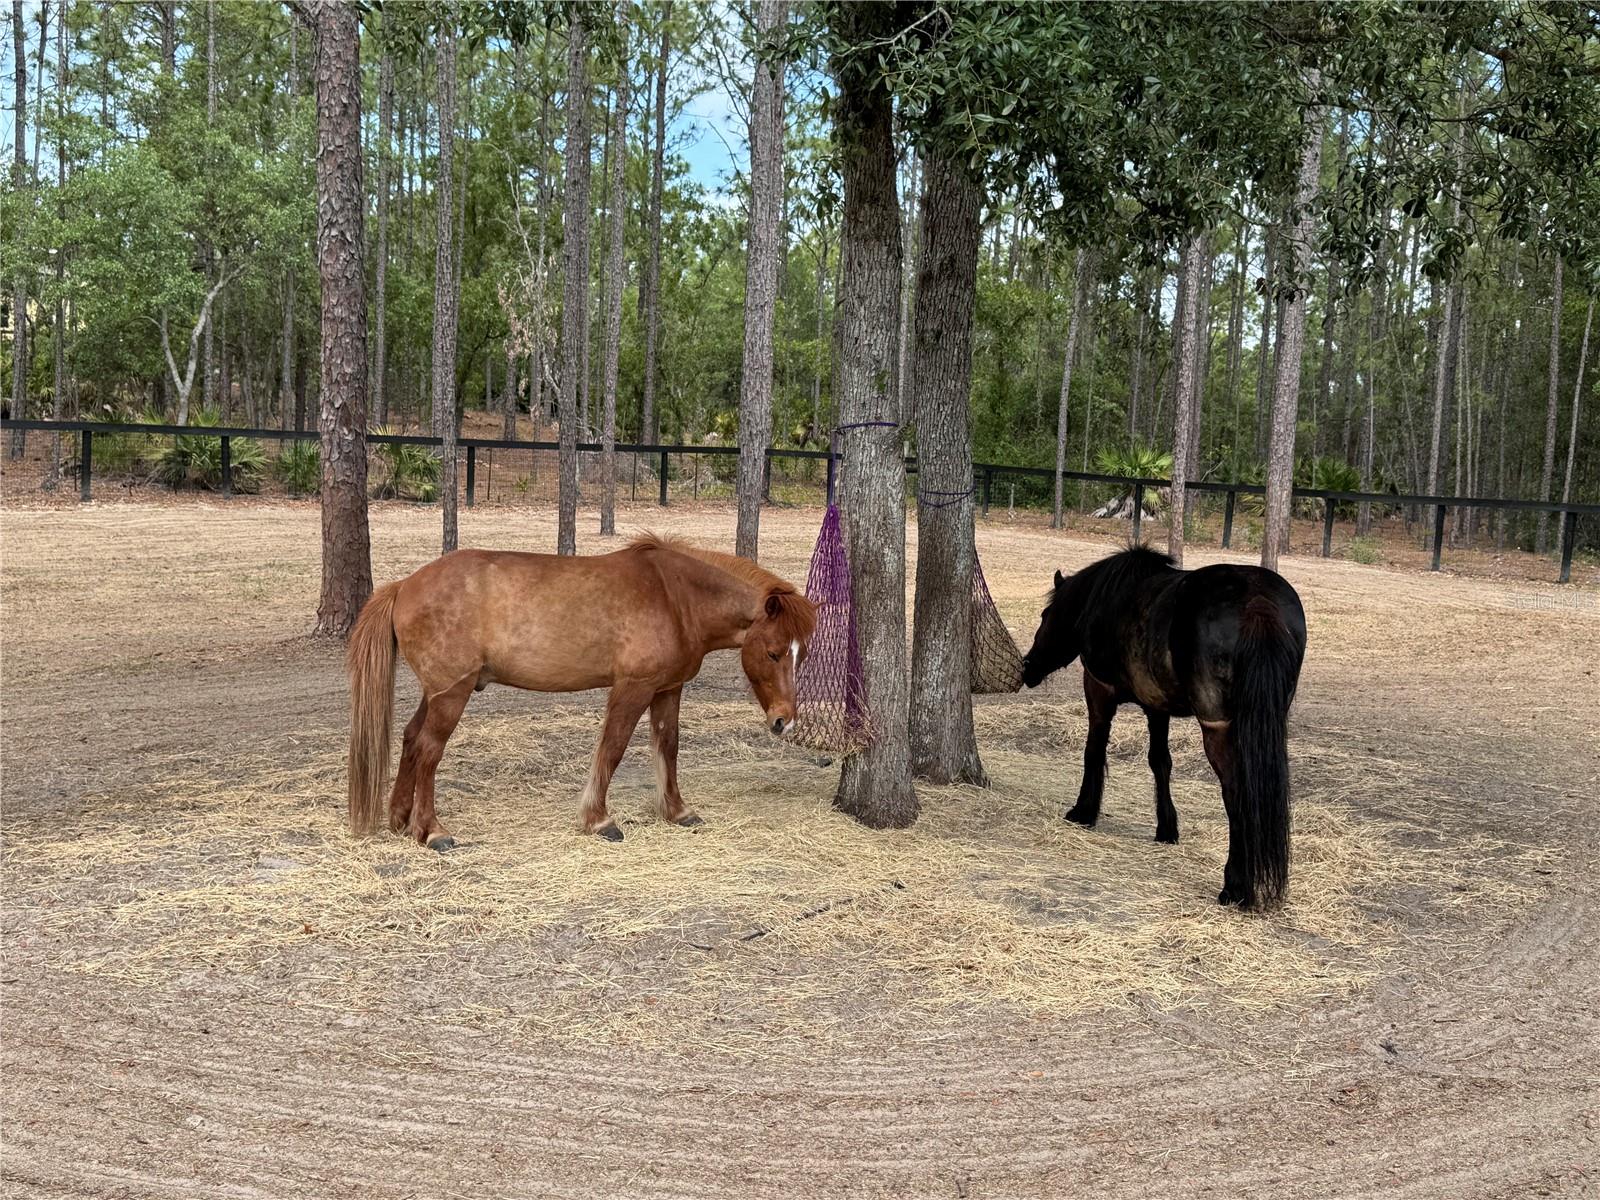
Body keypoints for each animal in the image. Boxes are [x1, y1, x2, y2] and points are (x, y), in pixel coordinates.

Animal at [347, 534, 812, 844]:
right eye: (773, 653)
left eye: (801, 654)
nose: (783, 721)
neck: (675, 597)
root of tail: (403, 586)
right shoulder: (632, 688)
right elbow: (613, 748)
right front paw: (598, 819)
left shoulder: (668, 689)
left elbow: (668, 746)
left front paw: (677, 811)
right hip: (451, 695)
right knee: (429, 749)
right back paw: (432, 831)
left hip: (438, 694)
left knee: (411, 740)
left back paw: (401, 819)